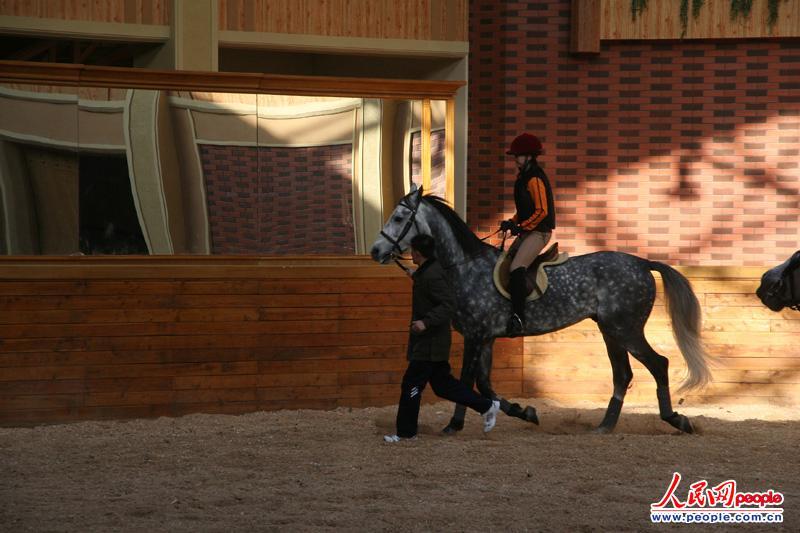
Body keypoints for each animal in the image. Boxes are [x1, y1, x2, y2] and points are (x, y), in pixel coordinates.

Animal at [368, 186, 712, 432]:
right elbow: (486, 385)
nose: (375, 250)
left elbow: (466, 382)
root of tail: (642, 263)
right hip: (610, 330)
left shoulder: (476, 337)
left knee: (658, 364)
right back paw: (605, 425)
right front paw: (525, 412)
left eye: (398, 218)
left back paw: (676, 419)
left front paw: (454, 424)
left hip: (625, 330)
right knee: (623, 373)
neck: (465, 266)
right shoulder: (487, 338)